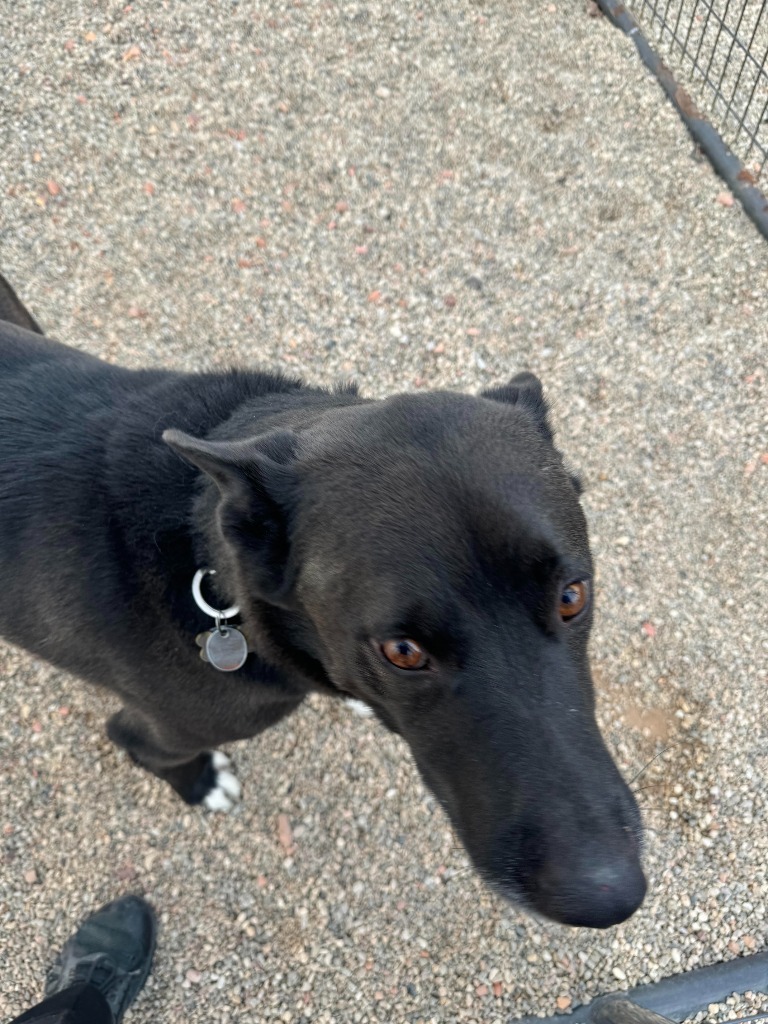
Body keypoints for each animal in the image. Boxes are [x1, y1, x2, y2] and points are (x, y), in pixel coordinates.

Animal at [0, 276, 647, 933]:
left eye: (571, 597)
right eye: (402, 651)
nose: (606, 895)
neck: (207, 556)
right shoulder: (159, 730)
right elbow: (143, 745)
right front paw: (202, 784)